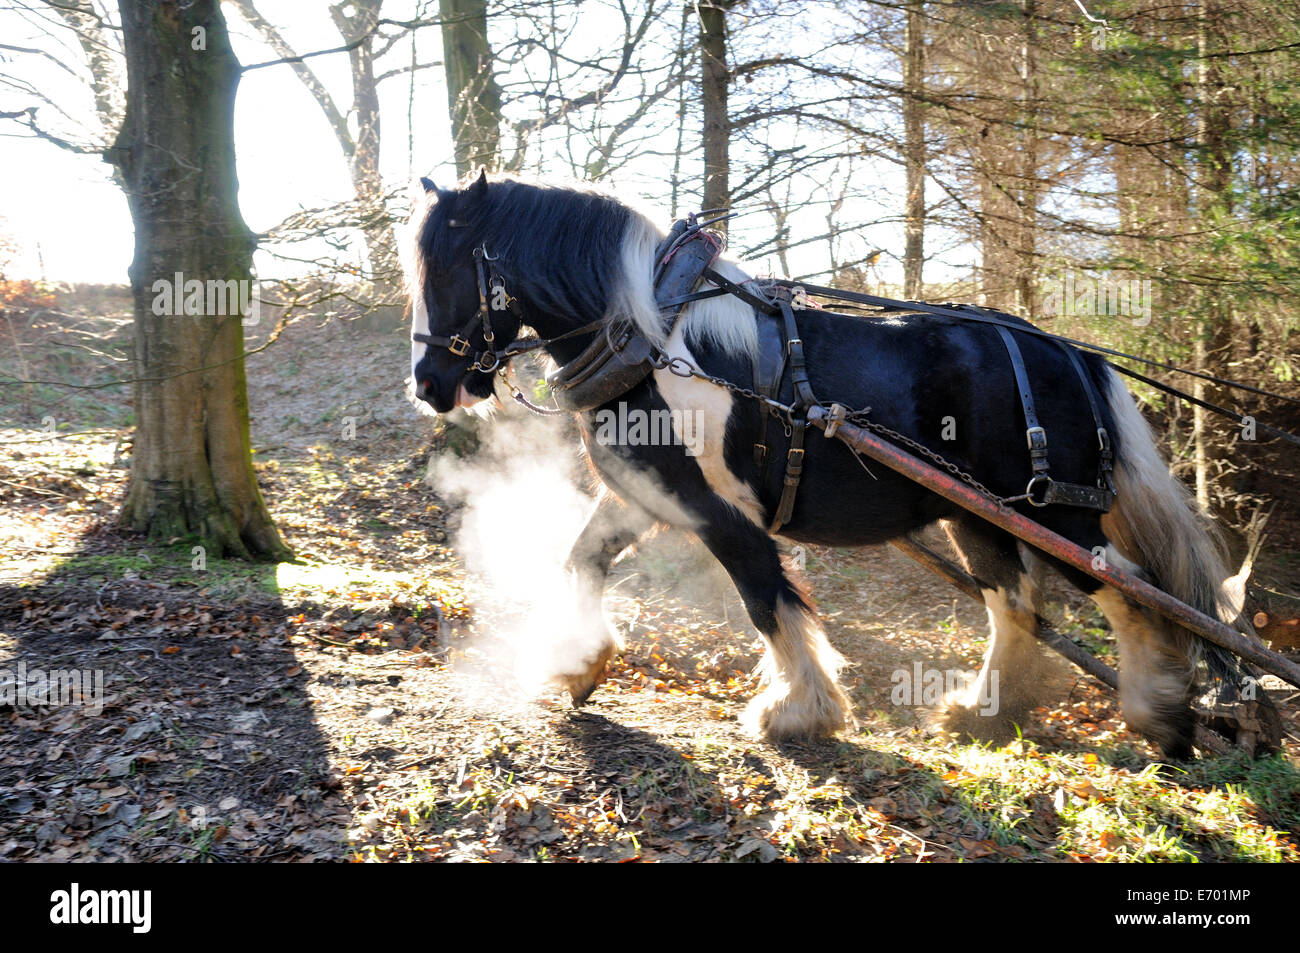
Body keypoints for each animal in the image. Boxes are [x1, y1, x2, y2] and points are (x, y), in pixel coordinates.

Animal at [408, 167, 1248, 754]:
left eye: (444, 269)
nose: (428, 384)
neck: (652, 340)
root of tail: (1072, 352)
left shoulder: (721, 511)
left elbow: (768, 600)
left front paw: (797, 710)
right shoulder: (646, 495)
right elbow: (580, 560)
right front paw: (578, 666)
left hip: (1060, 515)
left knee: (1129, 590)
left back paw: (1160, 716)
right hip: (977, 516)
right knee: (1016, 605)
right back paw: (980, 713)